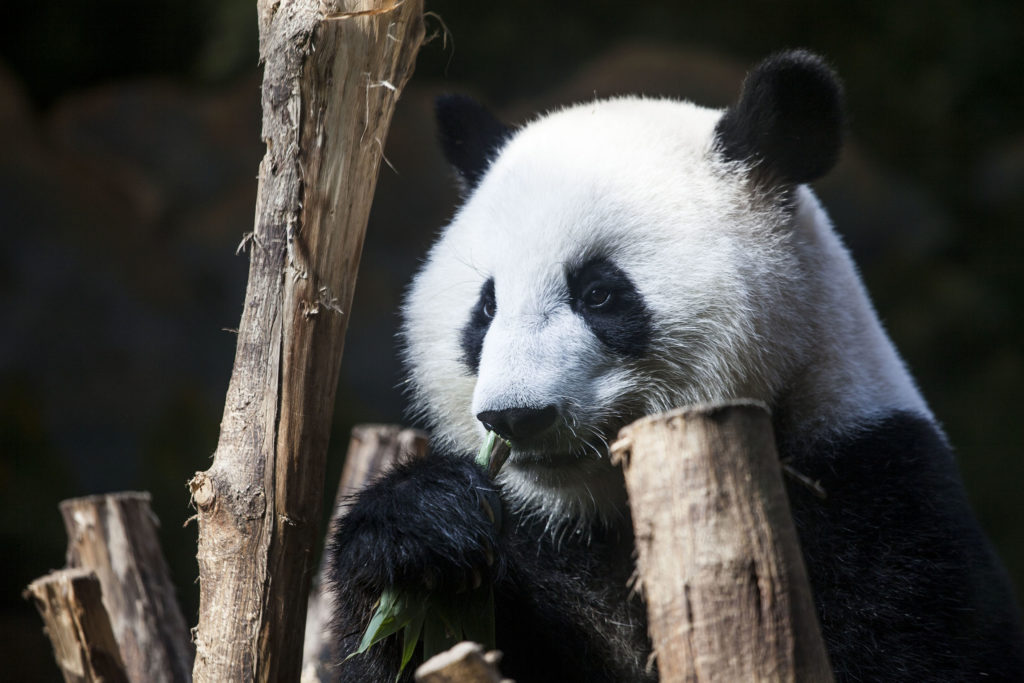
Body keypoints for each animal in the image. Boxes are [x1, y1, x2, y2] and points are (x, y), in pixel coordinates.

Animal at [329, 50, 1024, 679]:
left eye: (600, 293)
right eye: (487, 306)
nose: (517, 417)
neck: (601, 512)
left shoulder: (879, 497)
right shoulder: (533, 536)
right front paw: (420, 531)